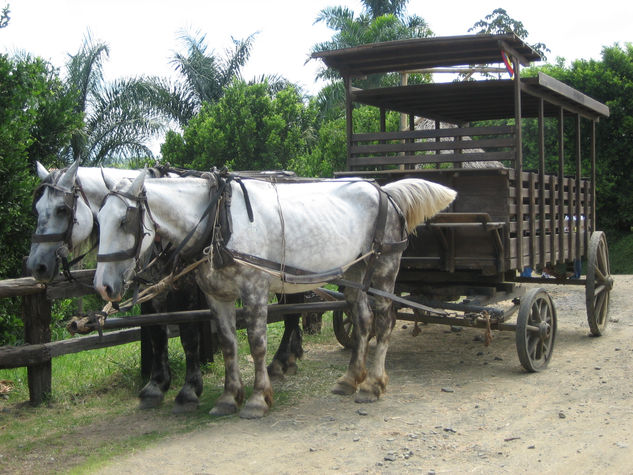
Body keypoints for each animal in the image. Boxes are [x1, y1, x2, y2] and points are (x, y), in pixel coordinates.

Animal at [94, 171, 454, 420]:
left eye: (125, 220)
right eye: (99, 220)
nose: (103, 286)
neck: (219, 220)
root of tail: (385, 192)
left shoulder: (254, 290)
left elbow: (257, 344)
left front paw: (257, 399)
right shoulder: (217, 297)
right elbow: (228, 345)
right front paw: (229, 397)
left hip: (384, 268)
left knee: (384, 321)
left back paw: (372, 384)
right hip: (353, 273)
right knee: (362, 321)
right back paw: (350, 379)